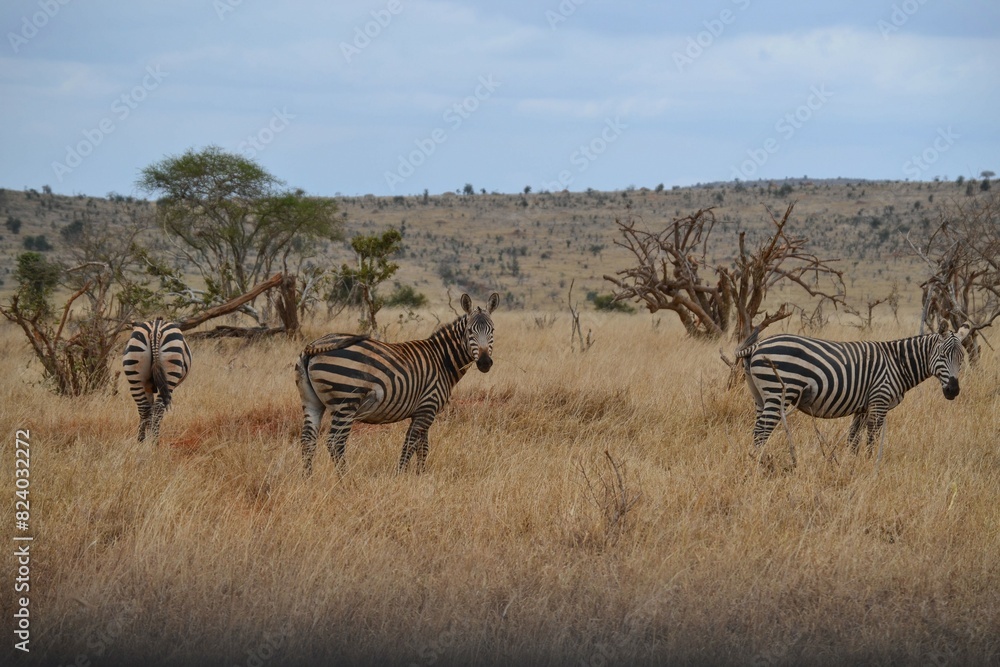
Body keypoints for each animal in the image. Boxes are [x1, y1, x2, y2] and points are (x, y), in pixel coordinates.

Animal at [295, 292, 500, 473]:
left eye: (492, 331)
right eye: (470, 331)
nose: (484, 363)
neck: (442, 360)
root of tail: (313, 346)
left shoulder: (422, 411)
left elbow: (423, 447)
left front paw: (420, 475)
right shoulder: (427, 407)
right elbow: (411, 445)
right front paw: (401, 475)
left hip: (312, 401)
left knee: (307, 440)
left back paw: (308, 479)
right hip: (346, 402)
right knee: (335, 442)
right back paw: (346, 480)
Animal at [735, 323, 970, 454]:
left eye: (962, 359)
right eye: (942, 356)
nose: (953, 390)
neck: (897, 363)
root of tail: (758, 345)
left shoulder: (863, 407)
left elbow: (853, 440)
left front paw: (852, 465)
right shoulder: (879, 401)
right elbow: (872, 439)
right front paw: (870, 464)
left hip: (760, 396)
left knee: (757, 430)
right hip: (778, 393)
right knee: (762, 431)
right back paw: (761, 465)